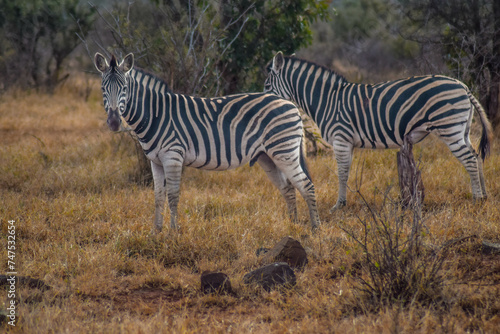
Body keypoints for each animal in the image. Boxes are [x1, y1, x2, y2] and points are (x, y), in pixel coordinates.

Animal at [94, 52, 320, 232]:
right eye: (103, 89)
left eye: (124, 88)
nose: (114, 122)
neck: (156, 114)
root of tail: (290, 103)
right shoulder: (155, 161)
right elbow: (158, 196)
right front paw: (155, 232)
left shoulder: (173, 157)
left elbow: (173, 196)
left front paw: (173, 233)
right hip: (268, 157)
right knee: (289, 189)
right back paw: (292, 226)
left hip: (284, 151)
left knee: (307, 186)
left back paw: (315, 229)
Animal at [264, 51, 494, 211]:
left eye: (266, 86)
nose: (265, 103)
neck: (327, 100)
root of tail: (463, 86)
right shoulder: (348, 142)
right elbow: (346, 172)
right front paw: (343, 202)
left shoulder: (340, 138)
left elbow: (341, 173)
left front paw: (339, 205)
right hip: (462, 130)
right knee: (476, 157)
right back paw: (484, 196)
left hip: (450, 128)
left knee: (470, 160)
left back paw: (476, 198)